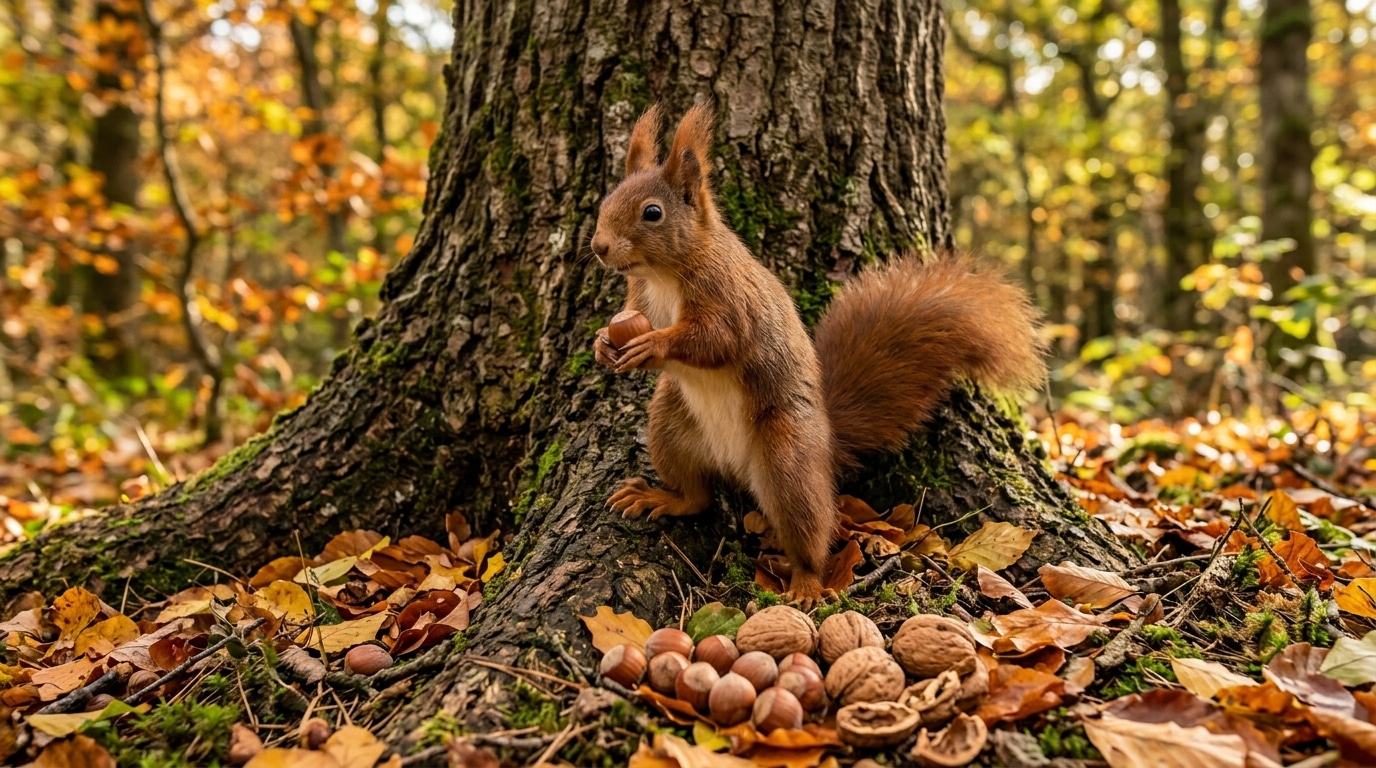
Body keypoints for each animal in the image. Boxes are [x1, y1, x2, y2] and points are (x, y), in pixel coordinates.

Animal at [589, 103, 1047, 606]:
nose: (598, 247)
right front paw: (602, 343)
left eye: (653, 212)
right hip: (670, 425)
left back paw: (807, 585)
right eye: (605, 202)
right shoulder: (640, 297)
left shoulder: (728, 299)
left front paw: (653, 344)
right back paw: (662, 497)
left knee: (811, 532)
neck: (663, 274)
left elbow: (715, 339)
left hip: (788, 457)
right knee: (698, 497)